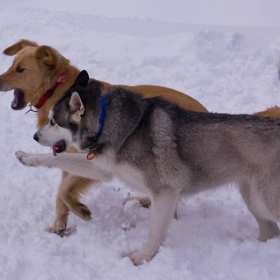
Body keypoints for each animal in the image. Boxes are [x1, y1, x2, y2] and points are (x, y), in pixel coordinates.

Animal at [0, 38, 208, 233]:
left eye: (20, 69)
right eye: (12, 64)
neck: (56, 89)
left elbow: (64, 189)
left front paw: (78, 210)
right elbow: (61, 191)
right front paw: (59, 225)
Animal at [15, 70, 280, 264]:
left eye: (53, 121)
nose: (35, 137)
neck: (107, 123)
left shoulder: (165, 192)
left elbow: (154, 233)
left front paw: (140, 258)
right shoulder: (103, 168)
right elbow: (56, 161)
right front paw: (28, 157)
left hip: (265, 201)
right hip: (253, 197)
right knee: (270, 231)